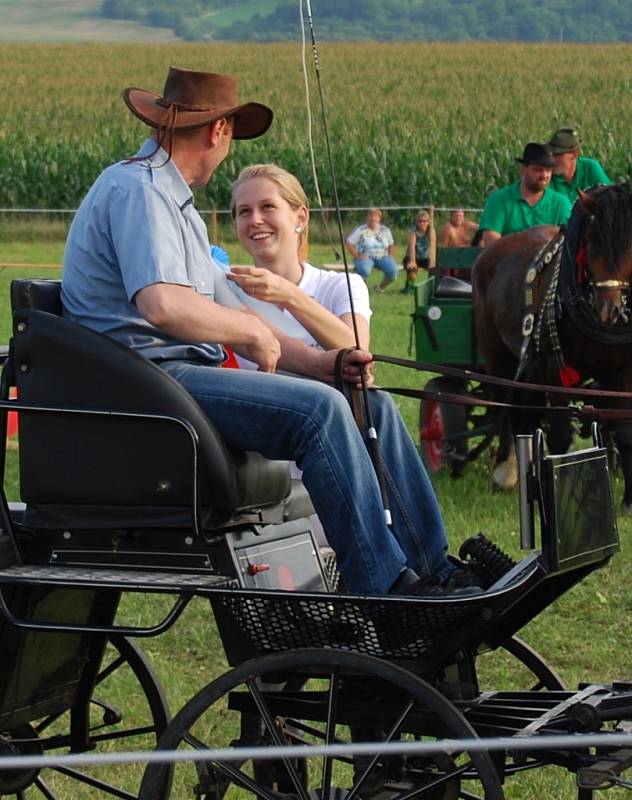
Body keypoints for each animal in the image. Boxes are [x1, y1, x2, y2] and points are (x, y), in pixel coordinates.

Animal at [474, 184, 632, 510]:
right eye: (591, 244)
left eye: (631, 245)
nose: (610, 311)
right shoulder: (556, 369)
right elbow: (560, 437)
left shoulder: (622, 371)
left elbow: (625, 432)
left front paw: (628, 501)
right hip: (498, 355)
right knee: (504, 405)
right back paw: (505, 471)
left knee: (526, 411)